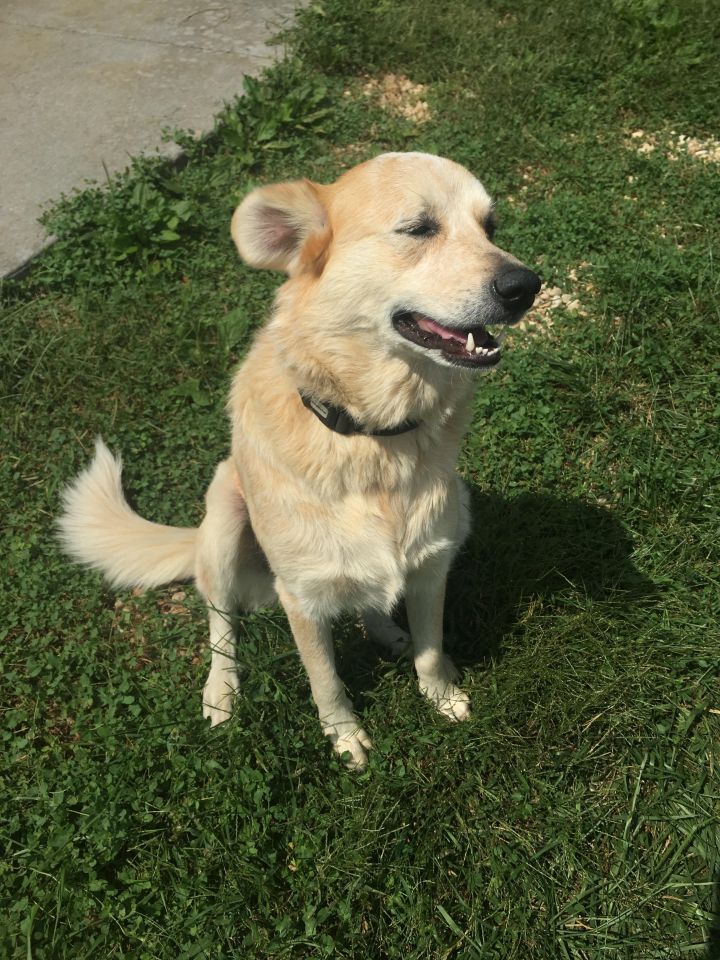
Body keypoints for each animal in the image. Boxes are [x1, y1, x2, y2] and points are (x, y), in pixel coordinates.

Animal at [57, 154, 540, 768]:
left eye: (490, 226)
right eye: (418, 228)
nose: (526, 286)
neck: (370, 436)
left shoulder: (432, 566)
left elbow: (431, 647)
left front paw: (441, 695)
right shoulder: (302, 598)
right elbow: (324, 679)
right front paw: (345, 736)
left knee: (368, 600)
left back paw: (390, 633)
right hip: (223, 524)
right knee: (221, 625)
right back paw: (221, 692)